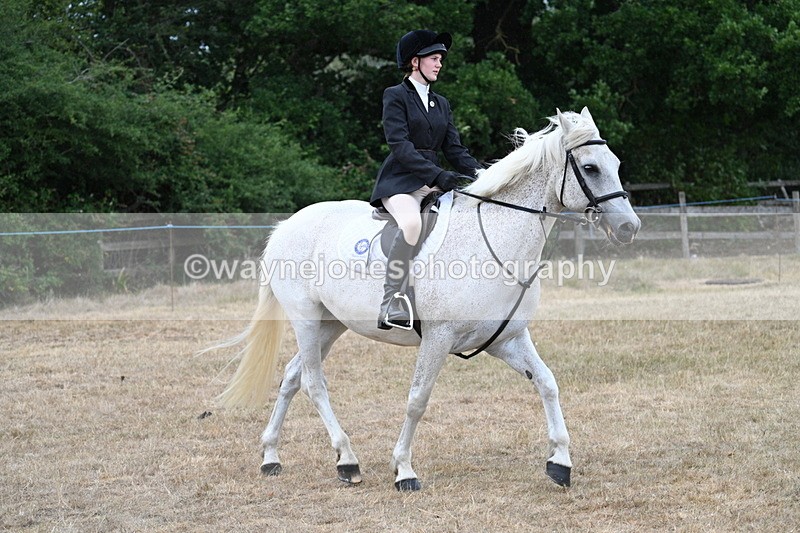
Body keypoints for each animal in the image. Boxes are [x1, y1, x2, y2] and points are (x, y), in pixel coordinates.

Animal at [212, 107, 640, 491]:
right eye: (590, 168)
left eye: (617, 163)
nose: (628, 227)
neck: (494, 242)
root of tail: (287, 225)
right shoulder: (438, 338)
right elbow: (418, 399)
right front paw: (404, 470)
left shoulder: (506, 339)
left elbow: (548, 384)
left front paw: (560, 463)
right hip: (305, 317)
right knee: (314, 383)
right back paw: (347, 461)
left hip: (330, 325)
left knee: (292, 377)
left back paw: (271, 457)